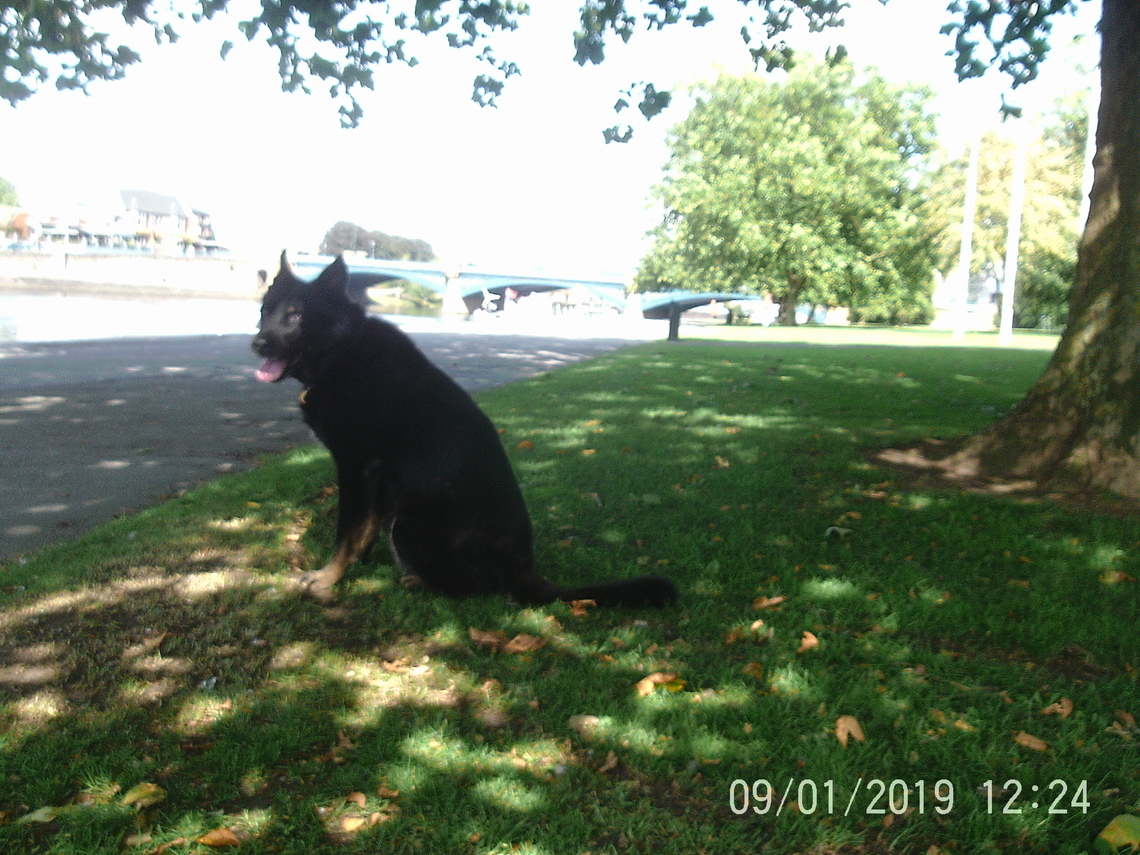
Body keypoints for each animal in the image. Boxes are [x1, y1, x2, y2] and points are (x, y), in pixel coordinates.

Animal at [252, 253, 677, 608]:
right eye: (263, 311)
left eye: (296, 316)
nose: (257, 344)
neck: (340, 350)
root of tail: (524, 570)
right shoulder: (375, 481)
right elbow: (362, 532)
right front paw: (355, 567)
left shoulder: (356, 467)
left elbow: (346, 533)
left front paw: (326, 580)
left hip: (406, 524)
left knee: (479, 590)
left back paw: (419, 582)